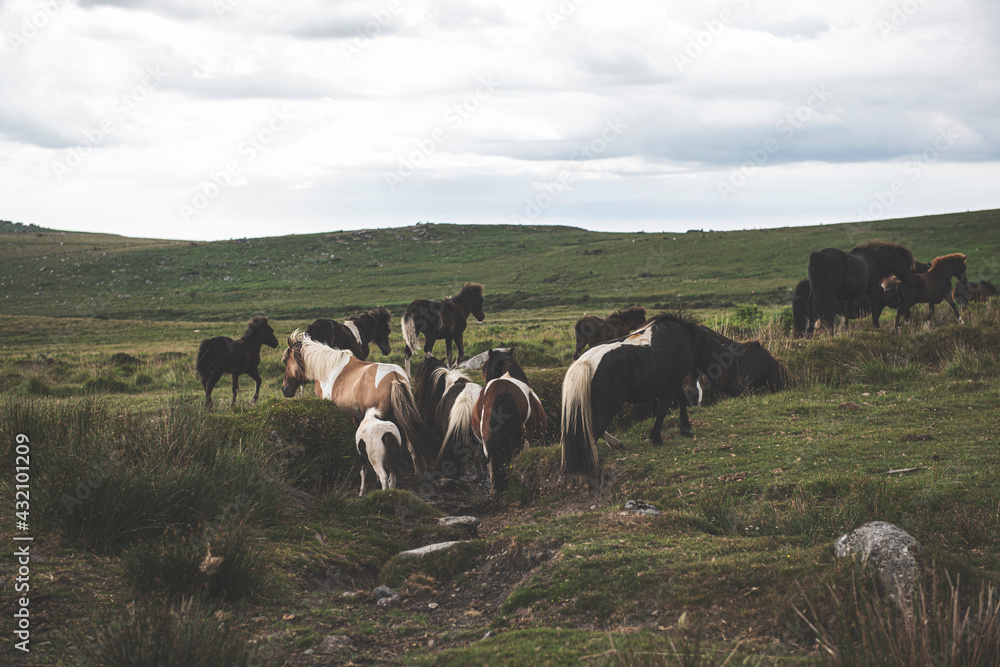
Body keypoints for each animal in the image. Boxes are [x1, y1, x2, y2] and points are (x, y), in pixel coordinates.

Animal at [280, 331, 440, 474]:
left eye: (285, 361)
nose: (284, 389)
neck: (328, 369)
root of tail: (395, 377)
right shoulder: (355, 416)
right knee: (410, 444)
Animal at [561, 314, 743, 478]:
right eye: (731, 367)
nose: (739, 391)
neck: (685, 338)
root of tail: (584, 362)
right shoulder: (674, 380)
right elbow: (663, 409)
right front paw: (657, 438)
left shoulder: (673, 382)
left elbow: (681, 400)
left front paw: (685, 428)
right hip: (606, 407)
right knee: (593, 430)